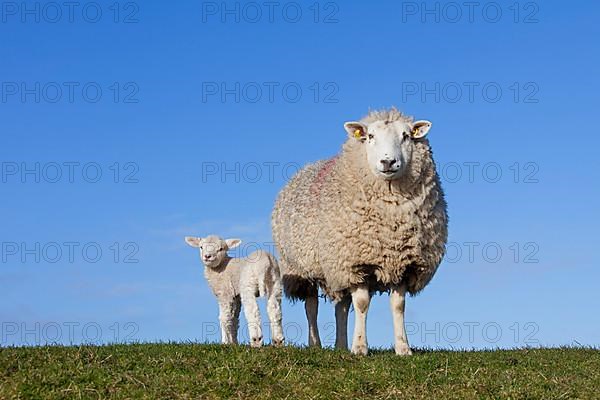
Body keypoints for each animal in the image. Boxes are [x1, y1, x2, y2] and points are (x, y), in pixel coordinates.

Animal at [270, 108, 446, 354]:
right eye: (370, 136)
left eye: (406, 136)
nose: (388, 161)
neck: (391, 222)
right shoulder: (357, 263)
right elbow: (362, 304)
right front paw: (361, 347)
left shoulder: (403, 263)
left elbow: (398, 306)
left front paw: (403, 348)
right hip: (304, 268)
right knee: (311, 306)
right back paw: (315, 344)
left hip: (336, 269)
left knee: (341, 307)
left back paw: (341, 345)